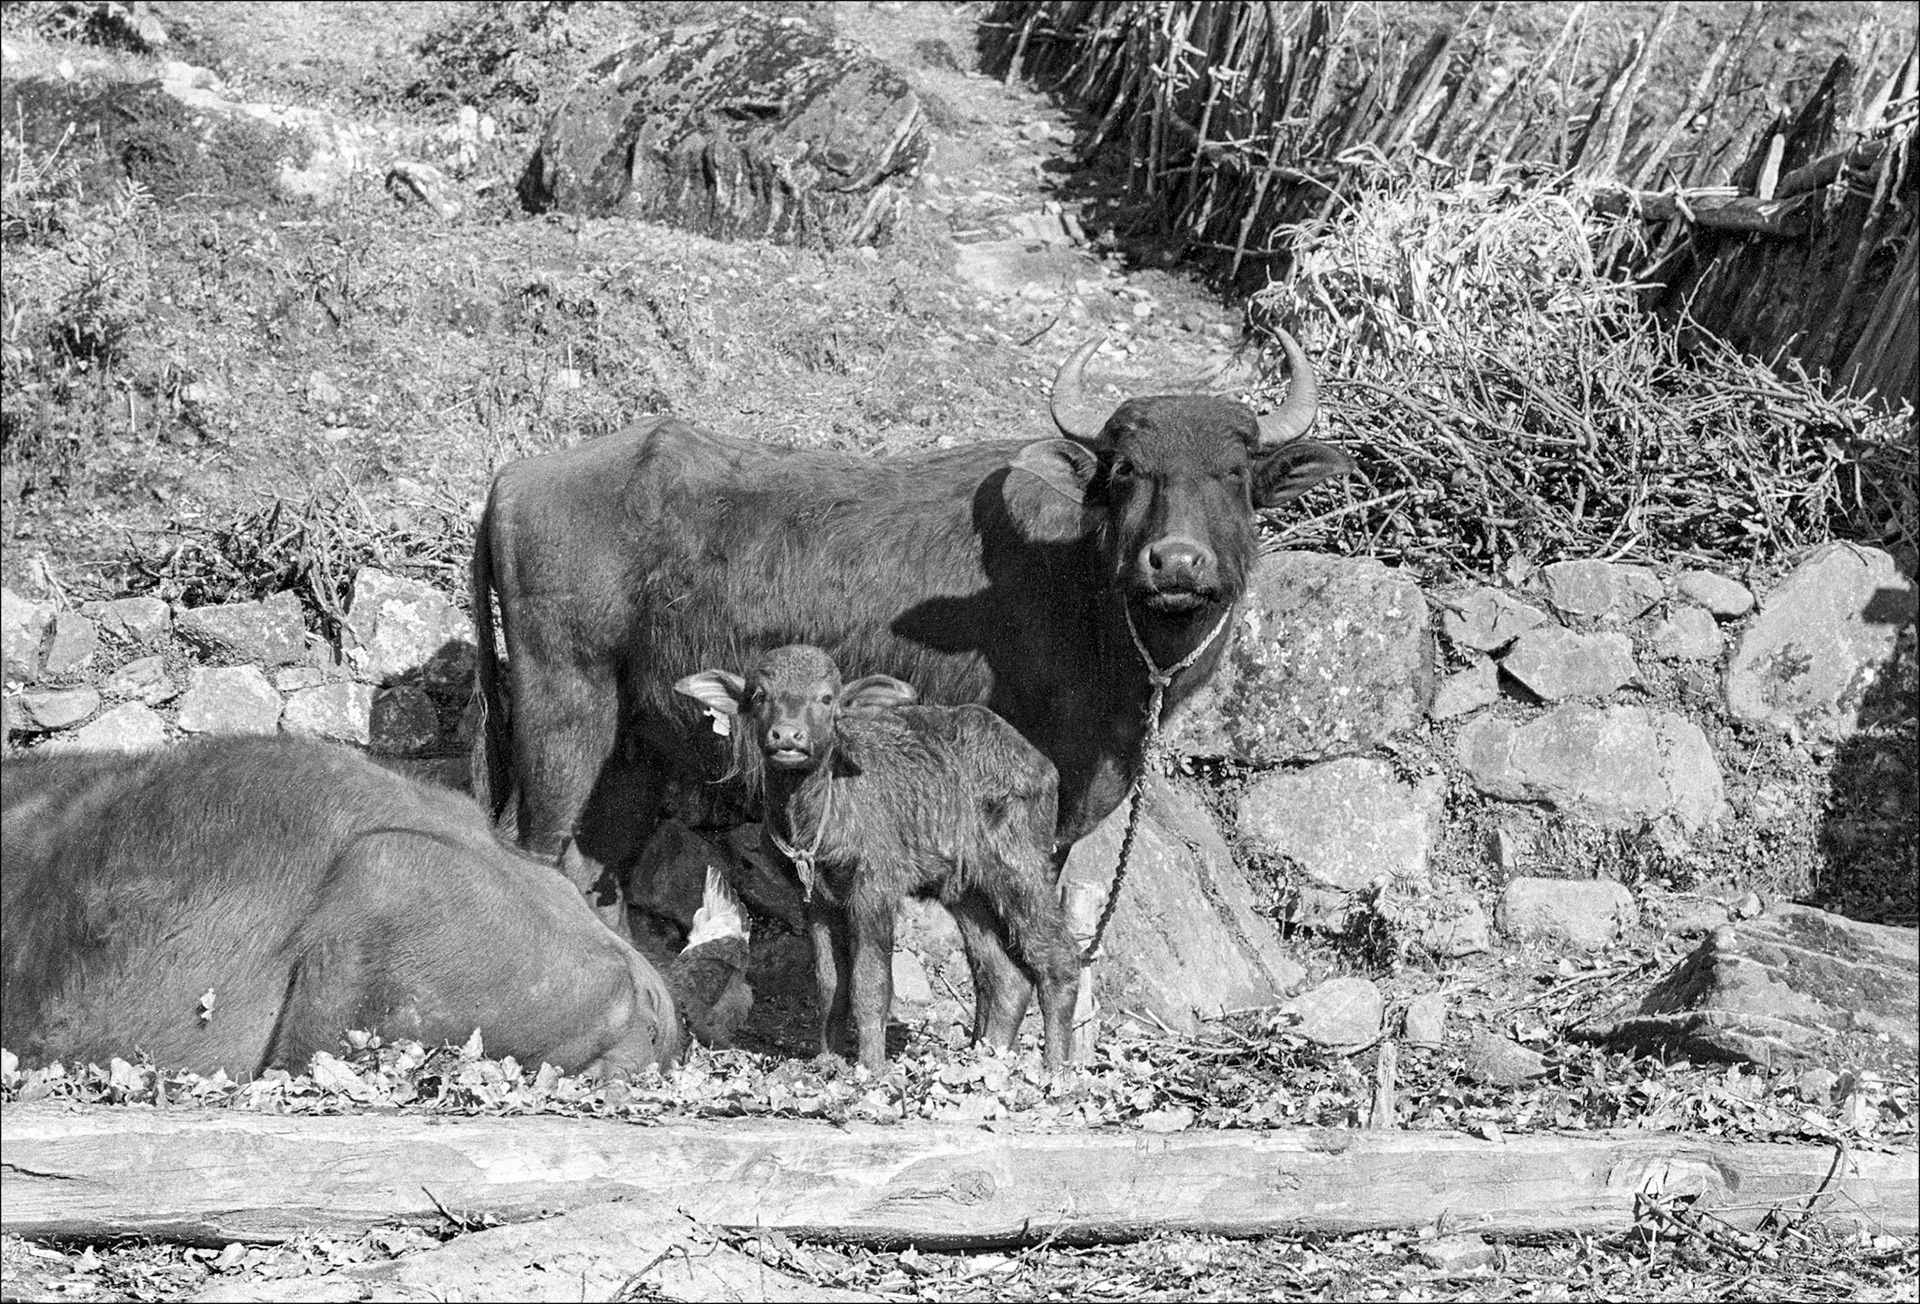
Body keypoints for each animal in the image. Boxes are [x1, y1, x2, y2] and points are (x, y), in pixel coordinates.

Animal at [473, 332, 1352, 924]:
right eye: (1131, 472)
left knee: (589, 863)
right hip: (565, 708)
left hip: (633, 742)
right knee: (529, 843)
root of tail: (514, 477)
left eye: (1233, 474)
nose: (1175, 563)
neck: (1091, 600)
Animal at [676, 644, 1079, 1073]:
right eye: (759, 695)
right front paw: (829, 1059)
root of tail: (1043, 765)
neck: (821, 811)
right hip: (968, 891)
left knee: (1060, 957)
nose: (787, 735)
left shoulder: (875, 888)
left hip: (1020, 867)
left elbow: (871, 982)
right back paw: (988, 1057)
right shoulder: (816, 900)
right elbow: (829, 984)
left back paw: (1057, 1067)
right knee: (1006, 977)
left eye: (826, 698)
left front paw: (870, 1066)